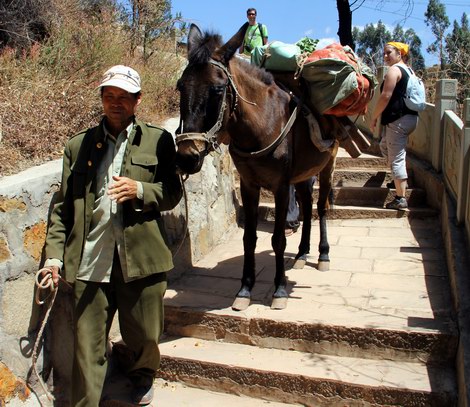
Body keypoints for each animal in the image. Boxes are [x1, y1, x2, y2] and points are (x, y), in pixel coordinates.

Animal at [175, 23, 338, 310]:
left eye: (218, 89)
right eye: (180, 87)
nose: (186, 156)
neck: (262, 123)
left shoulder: (281, 187)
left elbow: (278, 239)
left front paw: (279, 290)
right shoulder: (249, 185)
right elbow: (249, 238)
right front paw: (244, 289)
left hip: (327, 163)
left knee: (320, 208)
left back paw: (322, 255)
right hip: (303, 174)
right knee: (307, 206)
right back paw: (302, 253)